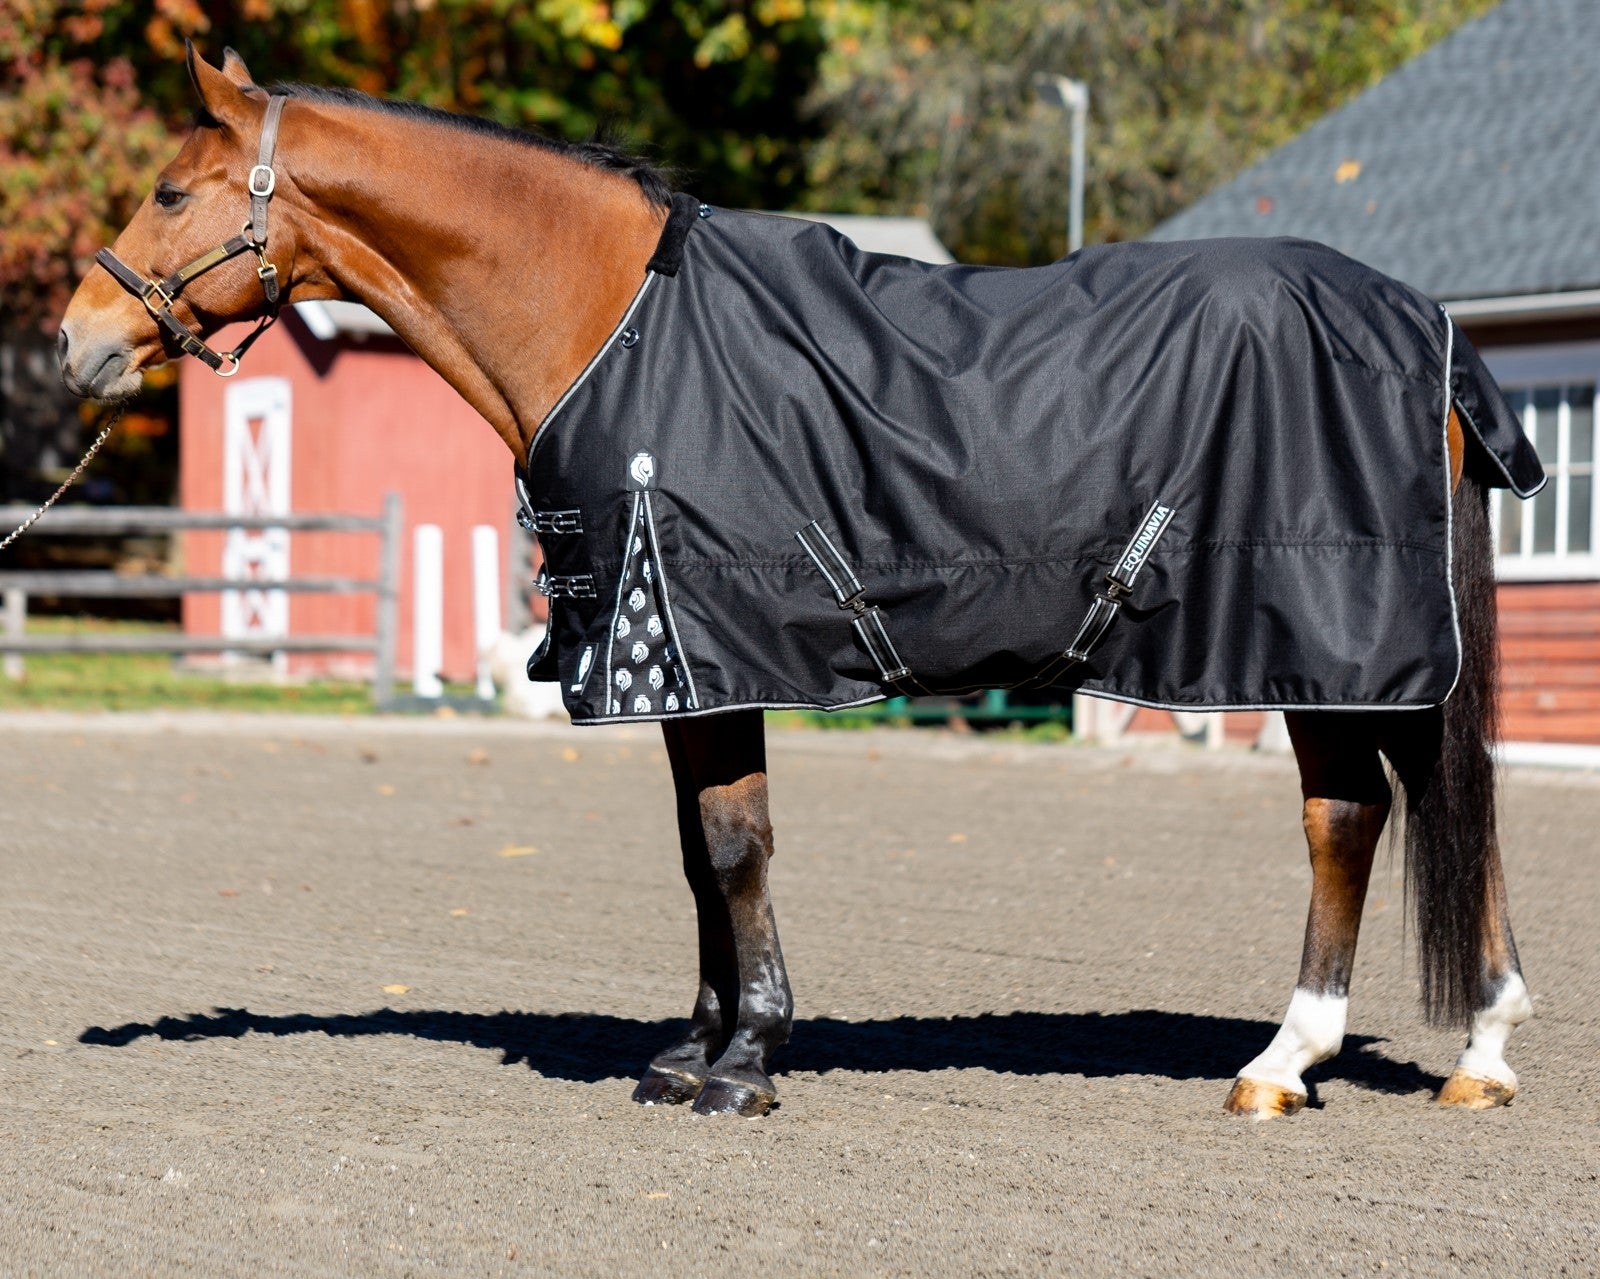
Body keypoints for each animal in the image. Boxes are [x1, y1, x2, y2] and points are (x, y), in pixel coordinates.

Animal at [59, 45, 1538, 1121]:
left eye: (172, 193)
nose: (78, 340)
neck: (614, 319)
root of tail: (1415, 325)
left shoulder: (707, 645)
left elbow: (734, 844)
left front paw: (747, 1059)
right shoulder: (675, 663)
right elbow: (693, 853)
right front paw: (689, 1047)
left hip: (1330, 644)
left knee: (1358, 813)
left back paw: (1320, 1058)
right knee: (1405, 804)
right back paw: (1441, 1048)